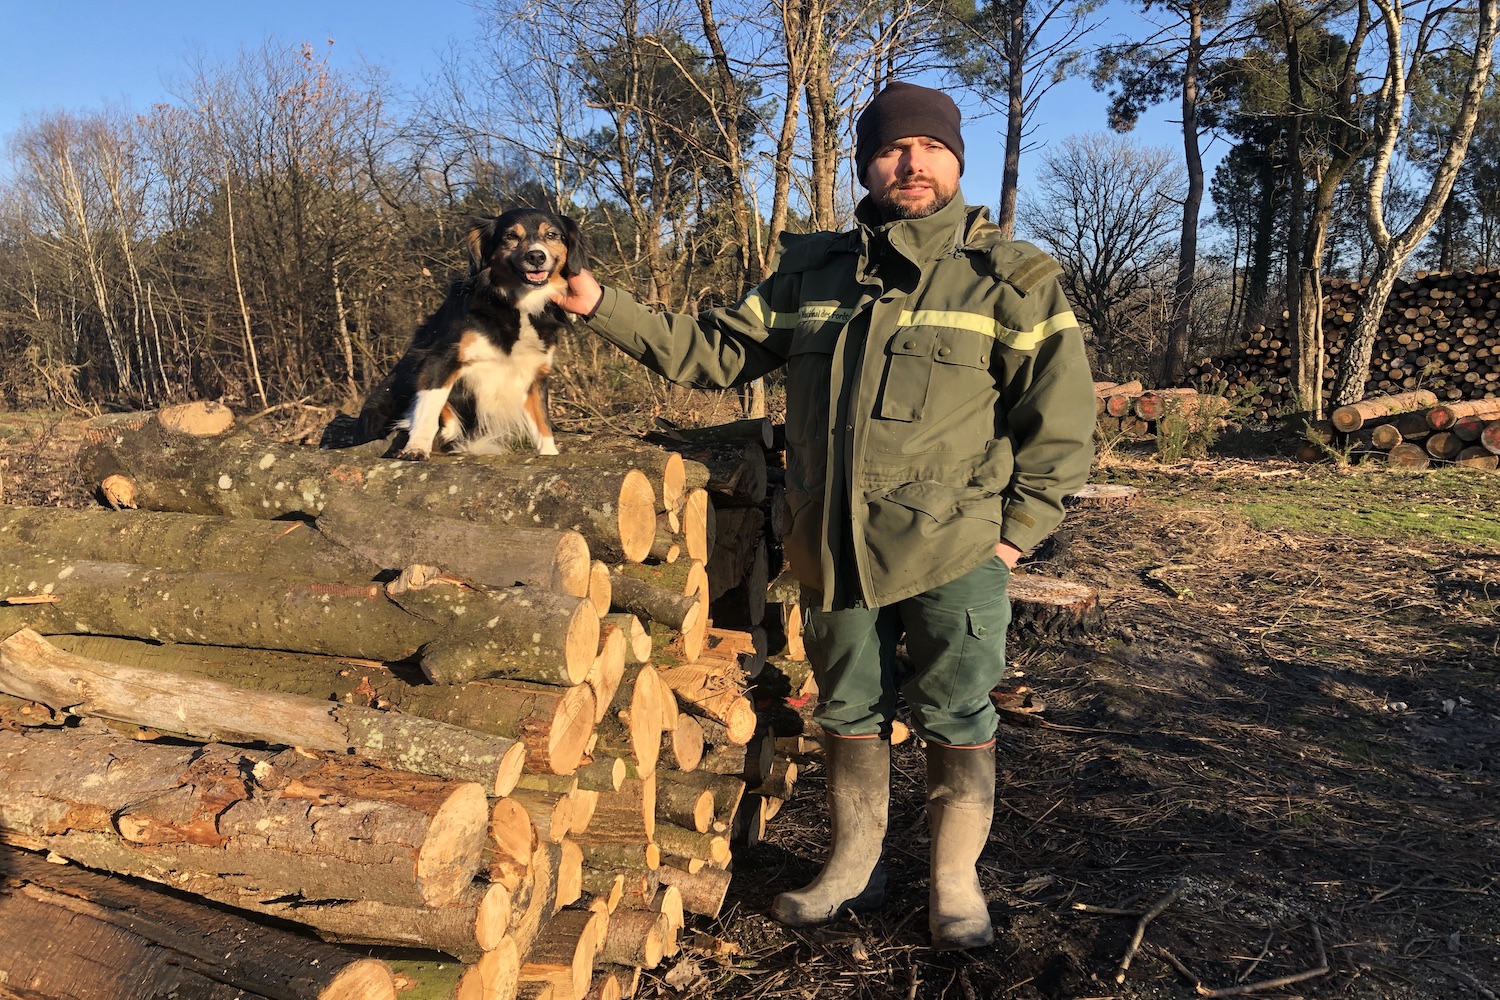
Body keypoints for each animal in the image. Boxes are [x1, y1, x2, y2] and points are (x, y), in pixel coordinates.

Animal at [358, 211, 585, 461]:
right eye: (510, 236)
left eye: (552, 235)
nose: (536, 256)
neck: (518, 306)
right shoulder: (441, 357)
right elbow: (429, 405)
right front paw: (416, 447)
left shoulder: (535, 375)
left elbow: (542, 423)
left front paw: (549, 453)